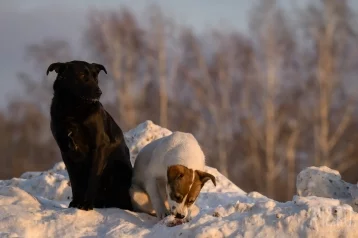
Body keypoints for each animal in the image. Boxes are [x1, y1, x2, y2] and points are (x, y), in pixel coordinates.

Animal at [46, 60, 133, 210]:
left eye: (95, 77)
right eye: (82, 75)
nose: (99, 92)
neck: (73, 112)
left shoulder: (99, 147)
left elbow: (92, 179)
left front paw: (86, 204)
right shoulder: (66, 151)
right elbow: (75, 182)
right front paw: (76, 203)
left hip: (119, 169)